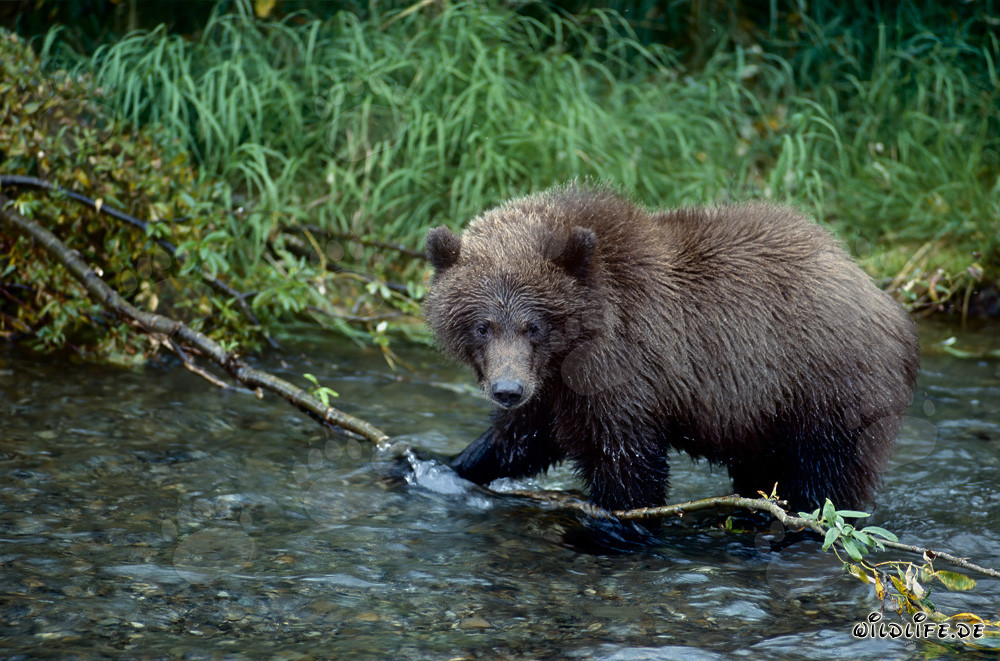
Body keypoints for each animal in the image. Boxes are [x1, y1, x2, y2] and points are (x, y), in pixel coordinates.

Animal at [424, 184, 920, 513]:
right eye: (482, 326)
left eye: (534, 326)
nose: (507, 389)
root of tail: (886, 302)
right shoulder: (554, 386)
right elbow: (523, 437)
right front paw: (443, 463)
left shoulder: (623, 368)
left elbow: (625, 467)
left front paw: (617, 522)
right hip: (767, 418)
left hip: (825, 390)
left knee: (825, 482)